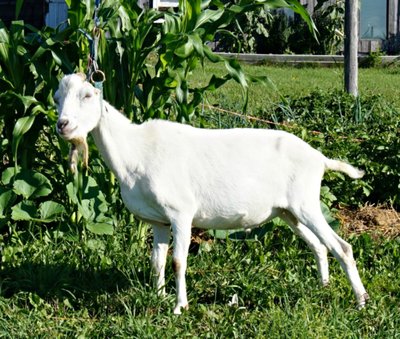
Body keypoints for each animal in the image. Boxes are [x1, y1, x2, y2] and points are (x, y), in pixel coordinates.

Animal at [55, 73, 368, 314]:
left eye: (87, 95)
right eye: (57, 97)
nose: (63, 125)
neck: (136, 151)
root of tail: (319, 158)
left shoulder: (181, 213)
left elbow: (178, 260)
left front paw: (179, 307)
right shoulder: (158, 220)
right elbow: (157, 261)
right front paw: (158, 297)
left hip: (306, 203)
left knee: (342, 247)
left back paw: (361, 301)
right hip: (289, 211)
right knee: (319, 246)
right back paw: (323, 287)